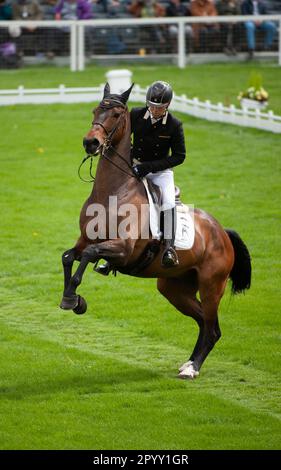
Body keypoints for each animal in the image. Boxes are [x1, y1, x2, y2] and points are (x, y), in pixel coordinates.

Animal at [58, 82, 249, 380]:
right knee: (204, 323)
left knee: (213, 327)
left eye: (116, 115)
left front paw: (74, 298)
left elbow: (89, 255)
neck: (112, 192)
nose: (91, 143)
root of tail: (222, 233)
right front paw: (71, 299)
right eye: (95, 110)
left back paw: (192, 368)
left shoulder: (123, 249)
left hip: (211, 286)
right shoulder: (85, 240)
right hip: (174, 288)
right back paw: (188, 363)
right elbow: (69, 256)